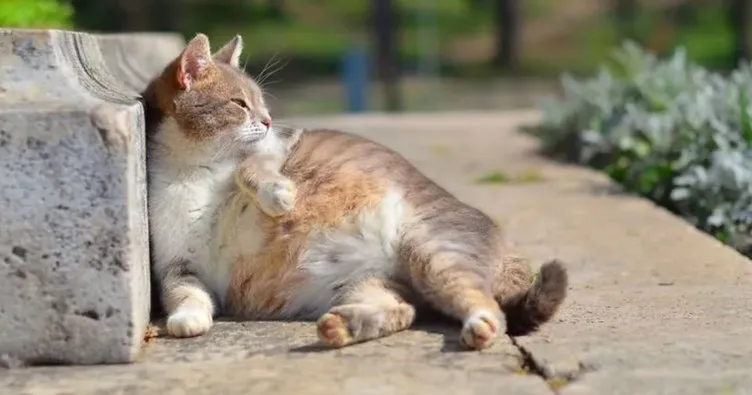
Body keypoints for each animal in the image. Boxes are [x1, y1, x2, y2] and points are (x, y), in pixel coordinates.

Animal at [141, 33, 568, 350]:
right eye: (239, 103)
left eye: (261, 103)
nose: (268, 119)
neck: (192, 171)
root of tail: (507, 247)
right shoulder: (179, 267)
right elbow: (187, 295)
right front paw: (187, 320)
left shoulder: (278, 146)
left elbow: (251, 168)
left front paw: (279, 196)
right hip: (367, 284)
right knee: (403, 310)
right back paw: (342, 327)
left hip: (435, 253)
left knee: (491, 310)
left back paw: (478, 328)